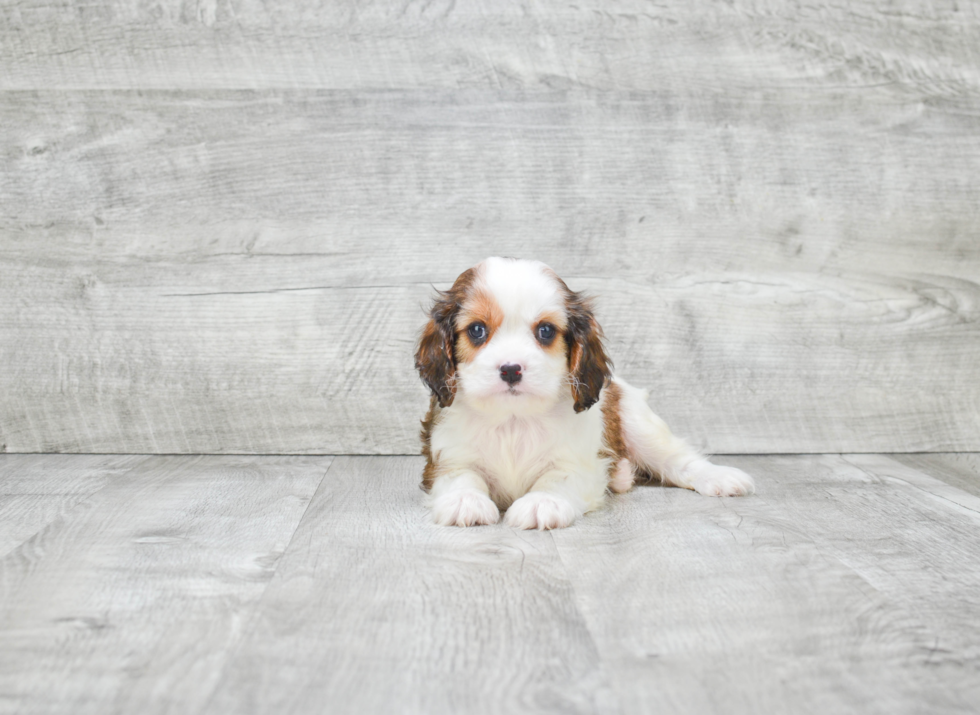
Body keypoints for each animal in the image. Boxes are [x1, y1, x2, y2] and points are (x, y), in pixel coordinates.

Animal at [410, 258, 756, 532]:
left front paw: (542, 502)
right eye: (477, 330)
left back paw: (718, 477)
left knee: (679, 459)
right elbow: (462, 477)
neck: (513, 419)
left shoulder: (578, 464)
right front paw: (465, 500)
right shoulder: (446, 459)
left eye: (545, 331)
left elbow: (557, 479)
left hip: (638, 423)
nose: (510, 369)